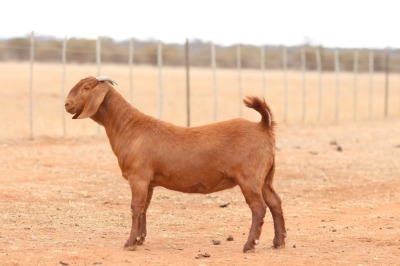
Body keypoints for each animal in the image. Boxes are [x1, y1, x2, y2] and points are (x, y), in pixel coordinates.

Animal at [64, 75, 286, 254]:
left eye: (86, 87)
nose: (66, 104)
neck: (129, 127)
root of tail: (263, 126)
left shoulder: (138, 177)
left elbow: (136, 207)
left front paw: (130, 243)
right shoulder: (149, 182)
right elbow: (144, 207)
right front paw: (140, 239)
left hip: (249, 178)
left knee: (258, 207)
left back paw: (249, 245)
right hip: (266, 177)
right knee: (275, 202)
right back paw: (279, 242)